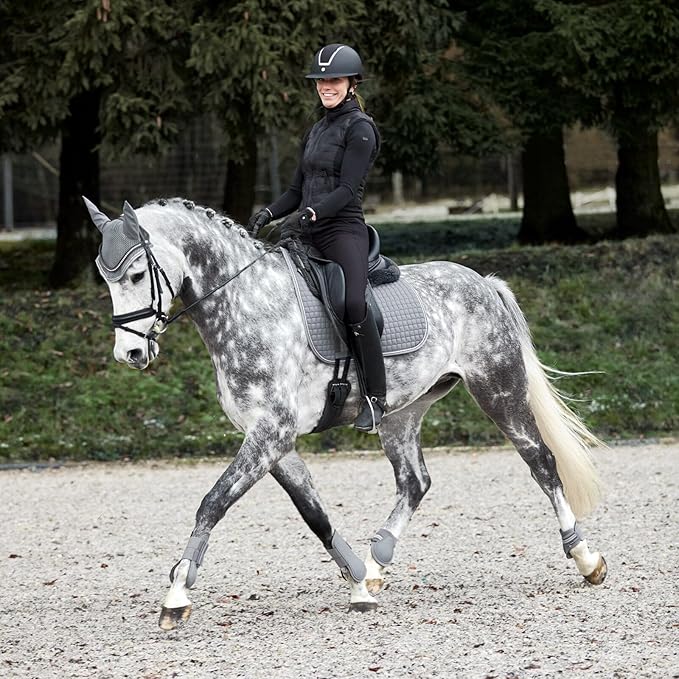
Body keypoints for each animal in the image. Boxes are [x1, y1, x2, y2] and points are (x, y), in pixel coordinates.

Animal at [84, 197, 607, 631]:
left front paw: (176, 593)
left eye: (136, 275)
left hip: (498, 389)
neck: (248, 305)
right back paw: (377, 564)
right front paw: (357, 580)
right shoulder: (273, 440)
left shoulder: (271, 434)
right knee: (415, 482)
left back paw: (585, 557)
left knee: (541, 461)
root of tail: (482, 281)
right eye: (105, 276)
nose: (130, 354)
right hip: (401, 413)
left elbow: (212, 502)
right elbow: (314, 514)